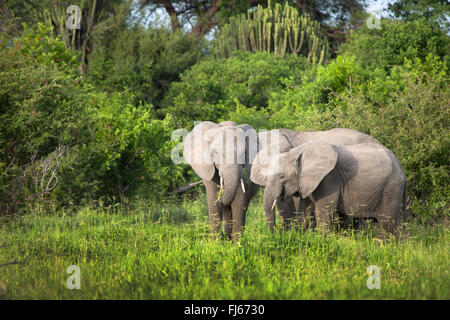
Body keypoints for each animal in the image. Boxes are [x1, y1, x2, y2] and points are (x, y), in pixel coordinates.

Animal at [251, 141, 406, 236]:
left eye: (281, 176)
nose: (278, 232)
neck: (299, 152)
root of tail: (402, 169)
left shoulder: (329, 179)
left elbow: (324, 214)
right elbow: (305, 212)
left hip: (391, 189)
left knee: (390, 224)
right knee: (380, 226)